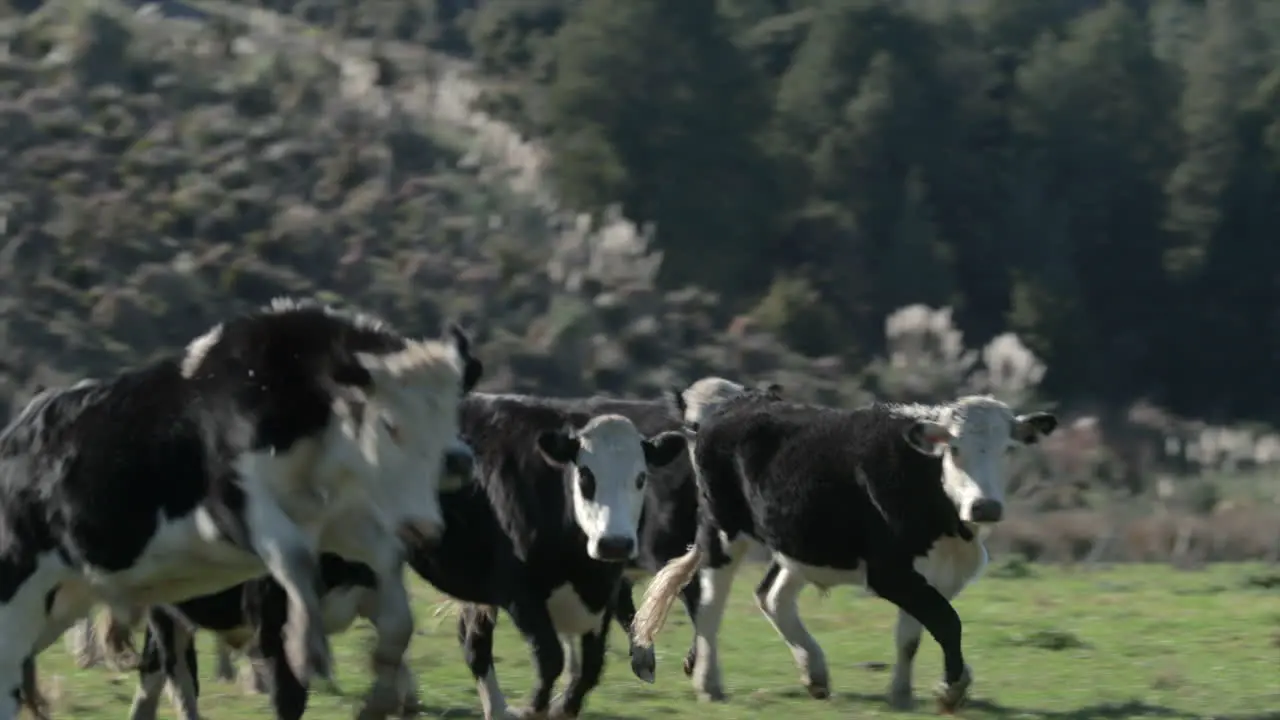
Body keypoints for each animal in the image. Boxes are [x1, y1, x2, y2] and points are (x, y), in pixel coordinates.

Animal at [0, 297, 481, 717]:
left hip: (58, 603)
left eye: (451, 415)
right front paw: (307, 646)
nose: (426, 524)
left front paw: (378, 697)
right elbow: (292, 560)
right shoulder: (232, 508)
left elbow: (392, 594)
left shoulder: (340, 523)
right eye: (389, 425)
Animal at [409, 392, 691, 717]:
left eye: (641, 478)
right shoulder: (519, 592)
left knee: (472, 639)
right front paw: (534, 708)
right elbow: (550, 658)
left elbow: (591, 667)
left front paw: (561, 707)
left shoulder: (603, 595)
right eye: (585, 476)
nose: (615, 544)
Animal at [629, 386, 1059, 707]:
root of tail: (736, 402)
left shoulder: (936, 573)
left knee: (771, 595)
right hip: (722, 531)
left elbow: (913, 634)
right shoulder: (890, 572)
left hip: (800, 540)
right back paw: (709, 684)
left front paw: (902, 694)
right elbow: (946, 621)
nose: (985, 506)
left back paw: (815, 673)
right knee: (710, 605)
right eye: (953, 448)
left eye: (1009, 449)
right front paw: (952, 687)